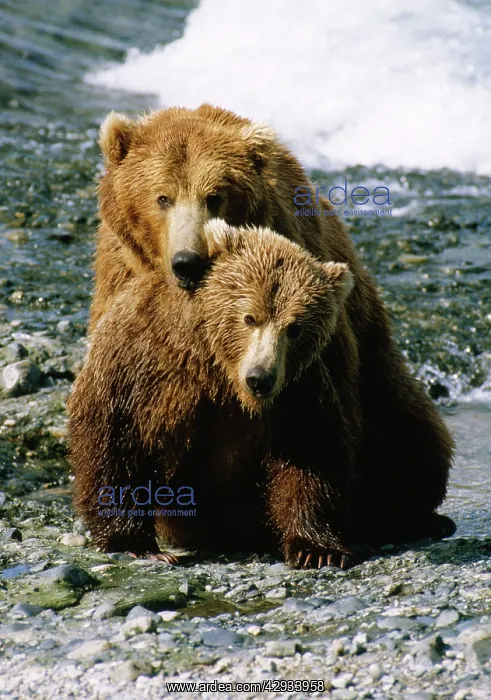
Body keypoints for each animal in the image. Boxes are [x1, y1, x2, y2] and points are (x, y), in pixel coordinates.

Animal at [69, 221, 455, 569]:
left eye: (295, 328)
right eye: (249, 317)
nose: (260, 378)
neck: (218, 370)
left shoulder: (297, 391)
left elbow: (308, 456)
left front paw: (317, 550)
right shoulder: (142, 364)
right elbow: (116, 439)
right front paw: (137, 544)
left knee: (410, 438)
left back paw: (421, 518)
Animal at [90, 104, 456, 547]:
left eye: (214, 197)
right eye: (163, 197)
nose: (188, 261)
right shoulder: (124, 282)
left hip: (380, 369)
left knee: (411, 431)